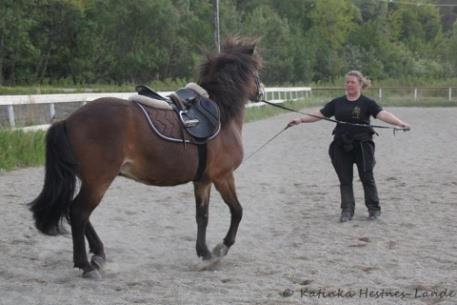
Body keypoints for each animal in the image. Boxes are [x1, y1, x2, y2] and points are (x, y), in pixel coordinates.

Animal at [29, 37, 260, 278]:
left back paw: (98, 254)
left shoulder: (203, 180)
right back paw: (86, 265)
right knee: (79, 213)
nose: (260, 92)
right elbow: (237, 210)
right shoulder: (223, 176)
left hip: (91, 181)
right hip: (99, 180)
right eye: (257, 70)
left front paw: (204, 252)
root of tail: (68, 121)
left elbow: (202, 216)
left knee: (77, 212)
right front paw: (220, 249)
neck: (221, 113)